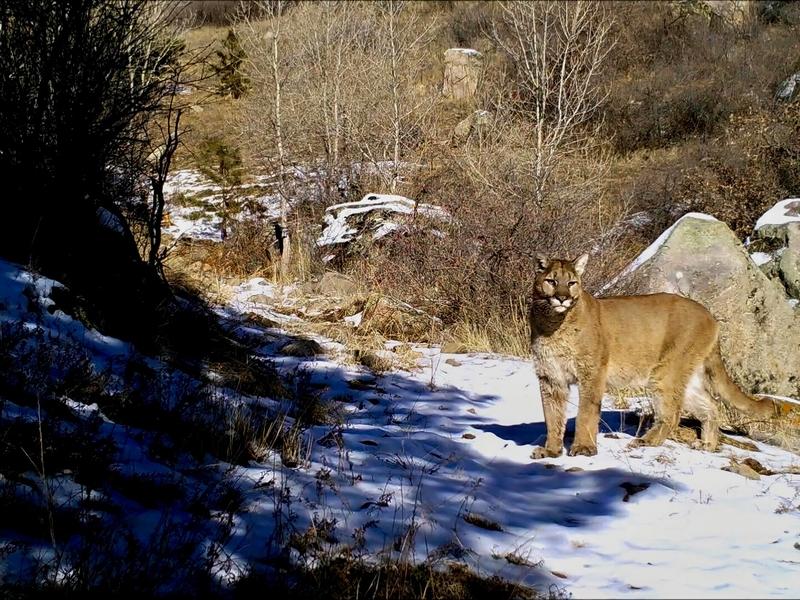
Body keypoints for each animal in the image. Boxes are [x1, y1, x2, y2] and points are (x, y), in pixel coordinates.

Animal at [528, 254, 780, 460]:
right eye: (551, 281)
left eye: (572, 283)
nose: (562, 298)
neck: (553, 324)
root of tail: (710, 315)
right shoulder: (550, 378)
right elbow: (552, 416)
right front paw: (551, 450)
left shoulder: (591, 373)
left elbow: (586, 412)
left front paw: (583, 449)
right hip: (685, 375)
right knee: (710, 405)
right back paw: (707, 444)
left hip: (665, 373)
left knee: (673, 413)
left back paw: (646, 441)